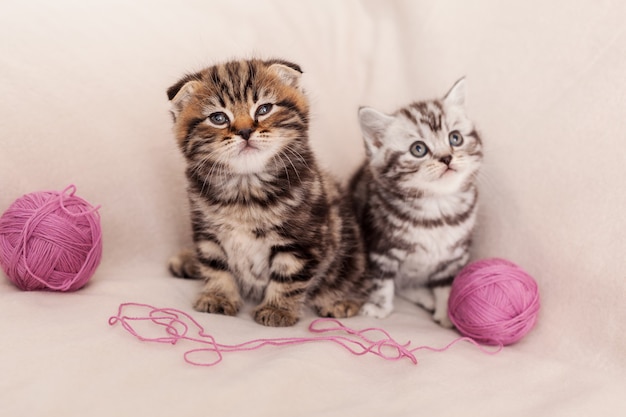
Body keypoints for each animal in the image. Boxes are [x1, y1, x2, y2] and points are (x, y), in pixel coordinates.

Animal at [166, 57, 370, 324]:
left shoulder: (302, 239)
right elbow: (214, 265)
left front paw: (278, 309)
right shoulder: (206, 230)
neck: (245, 189)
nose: (244, 131)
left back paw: (341, 301)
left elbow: (288, 276)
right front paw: (218, 296)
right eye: (218, 118)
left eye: (264, 109)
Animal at [348, 77, 480, 324]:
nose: (446, 158)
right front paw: (379, 307)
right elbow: (382, 282)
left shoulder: (454, 257)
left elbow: (446, 285)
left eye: (455, 138)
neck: (436, 208)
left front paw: (446, 315)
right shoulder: (379, 247)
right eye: (418, 149)